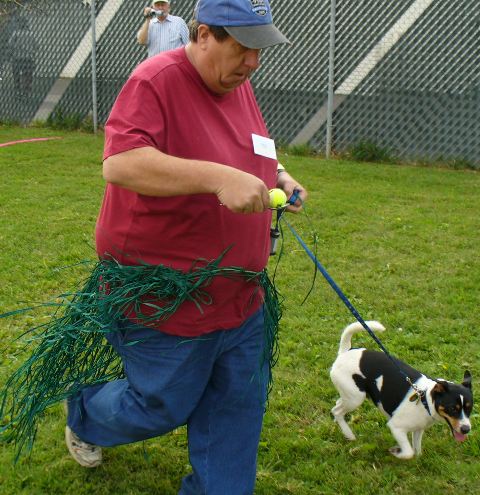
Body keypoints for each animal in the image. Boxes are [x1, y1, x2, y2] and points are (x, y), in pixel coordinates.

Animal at [330, 324, 472, 460]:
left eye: (469, 408)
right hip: (355, 398)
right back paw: (349, 434)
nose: (466, 429)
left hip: (350, 395)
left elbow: (416, 449)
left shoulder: (418, 429)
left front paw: (418, 459)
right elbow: (409, 452)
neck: (425, 401)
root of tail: (345, 351)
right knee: (336, 411)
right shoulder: (396, 427)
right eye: (452, 408)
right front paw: (397, 452)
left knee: (337, 404)